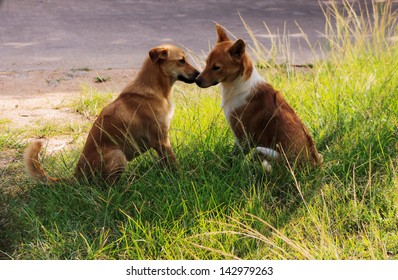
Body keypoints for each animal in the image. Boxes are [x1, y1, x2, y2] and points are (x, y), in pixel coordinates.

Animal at [24, 44, 199, 183]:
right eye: (181, 60)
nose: (198, 73)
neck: (154, 89)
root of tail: (77, 174)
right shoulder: (161, 141)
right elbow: (174, 164)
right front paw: (182, 178)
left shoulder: (160, 143)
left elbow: (166, 164)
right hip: (117, 155)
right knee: (109, 186)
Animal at [196, 25, 324, 171]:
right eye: (206, 63)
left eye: (216, 67)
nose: (196, 80)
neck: (240, 85)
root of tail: (314, 166)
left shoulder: (243, 137)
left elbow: (233, 158)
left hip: (261, 150)